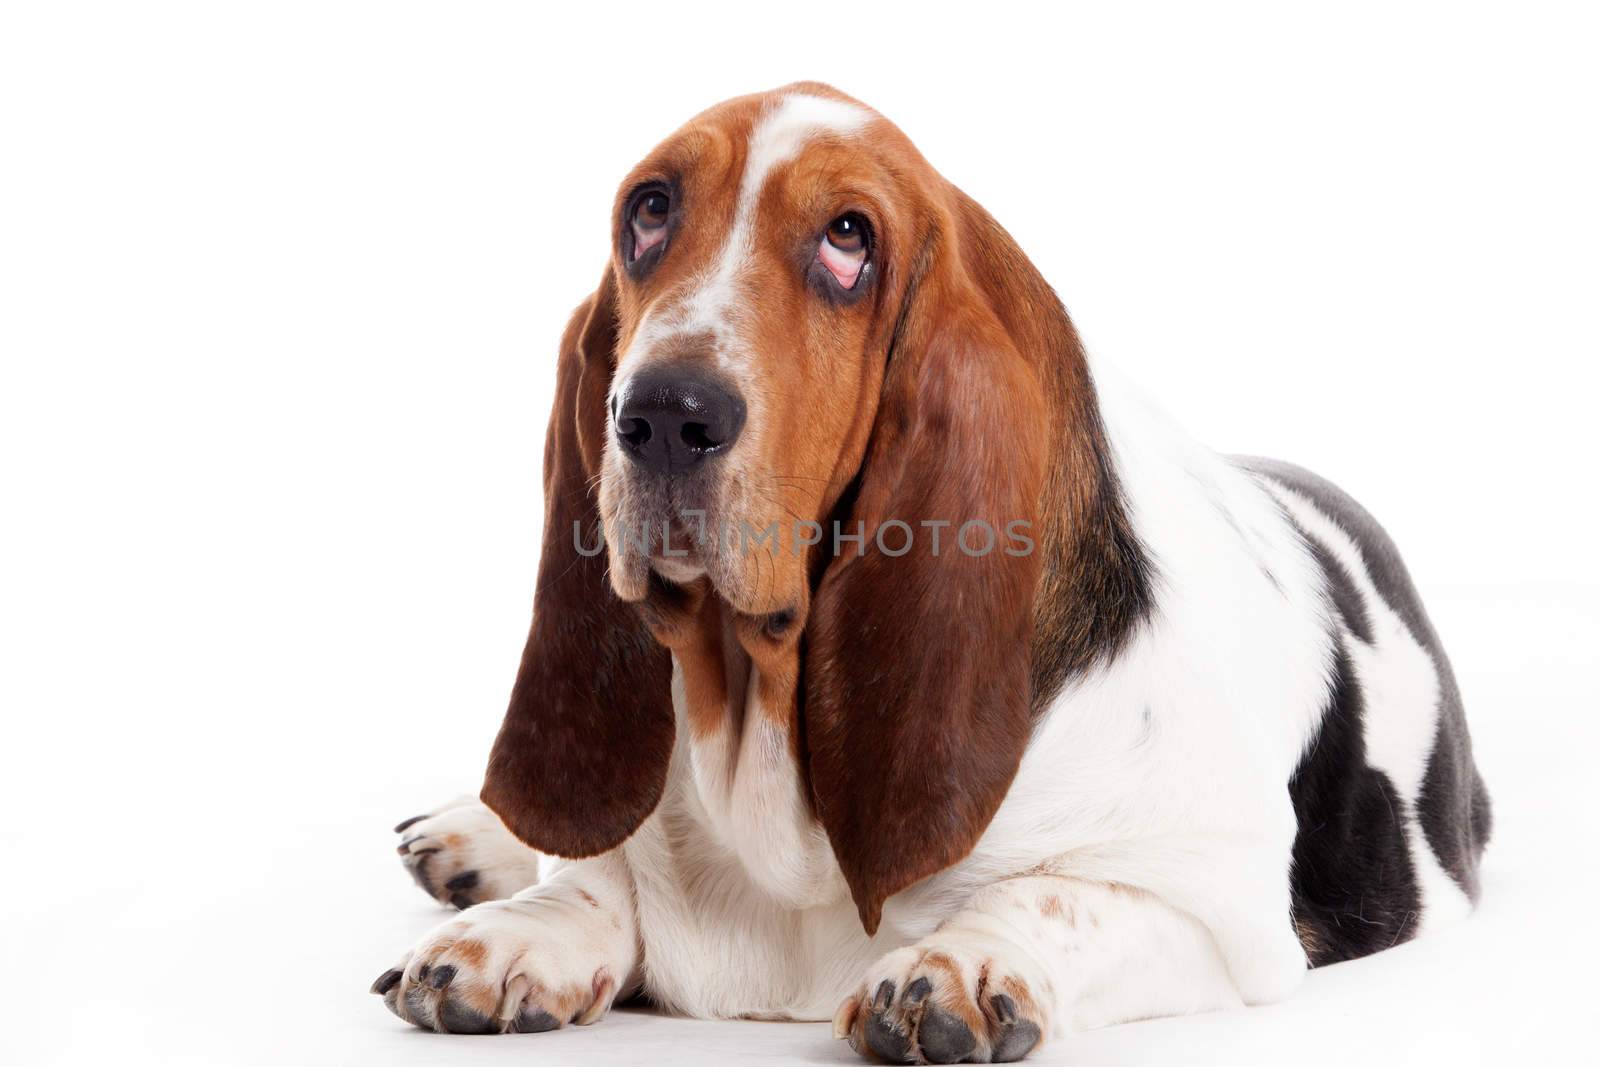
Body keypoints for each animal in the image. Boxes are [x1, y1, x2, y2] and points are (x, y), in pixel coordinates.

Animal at [368, 83, 1491, 1062]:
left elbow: (1052, 895)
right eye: (650, 210)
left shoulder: (1224, 910)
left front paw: (960, 962)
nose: (660, 414)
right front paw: (514, 931)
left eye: (848, 239)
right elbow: (594, 874)